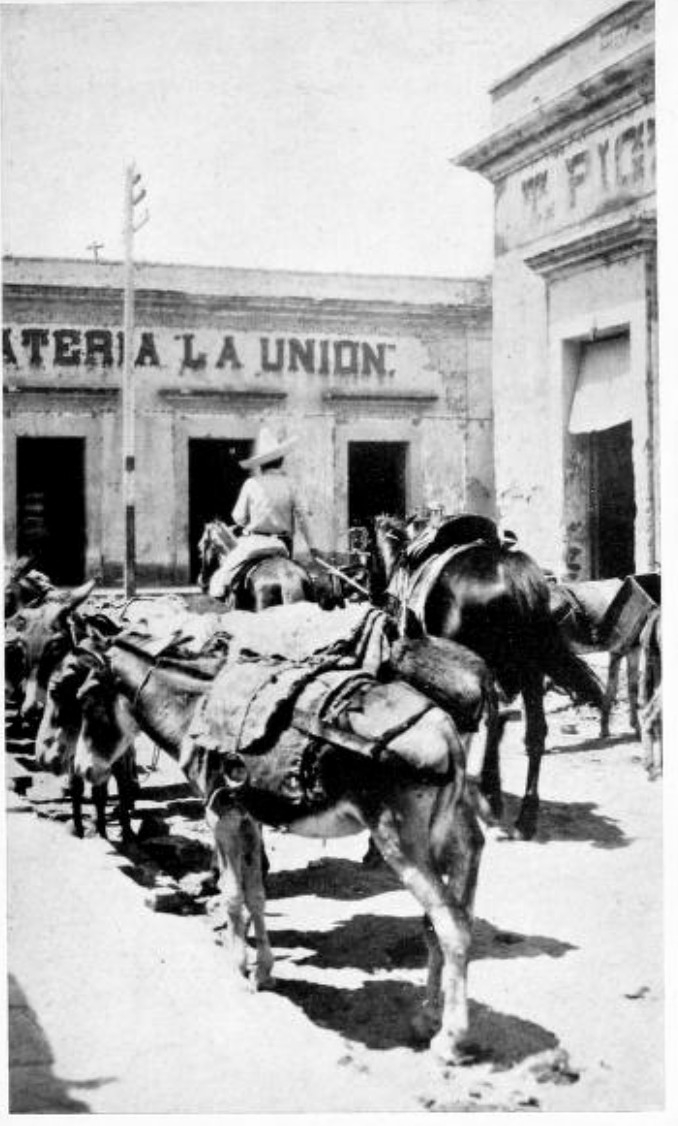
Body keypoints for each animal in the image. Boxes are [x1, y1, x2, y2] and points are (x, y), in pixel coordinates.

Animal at [369, 515, 603, 842]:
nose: (376, 594)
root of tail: (516, 579)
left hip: (485, 667)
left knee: (492, 723)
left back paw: (491, 796)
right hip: (529, 670)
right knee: (533, 733)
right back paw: (525, 816)